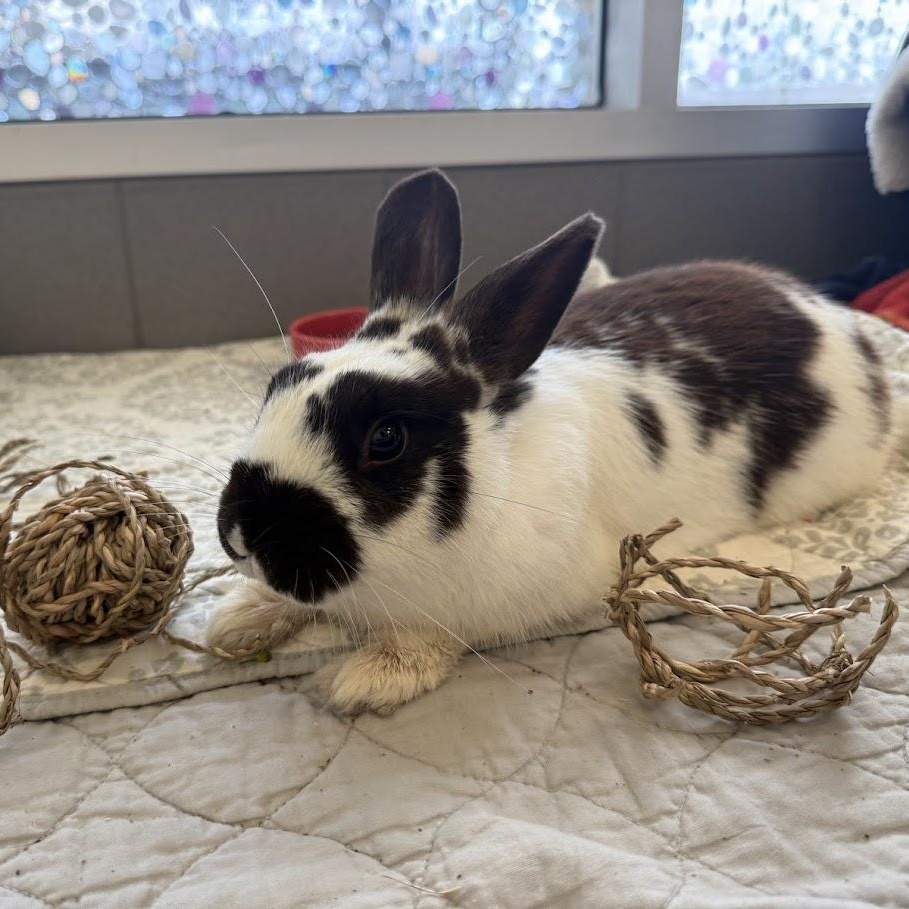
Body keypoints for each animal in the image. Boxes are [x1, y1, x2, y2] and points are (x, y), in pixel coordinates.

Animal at [208, 168, 898, 716]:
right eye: (278, 385)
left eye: (386, 439)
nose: (241, 536)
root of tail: (847, 330)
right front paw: (237, 622)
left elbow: (427, 637)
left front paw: (365, 680)